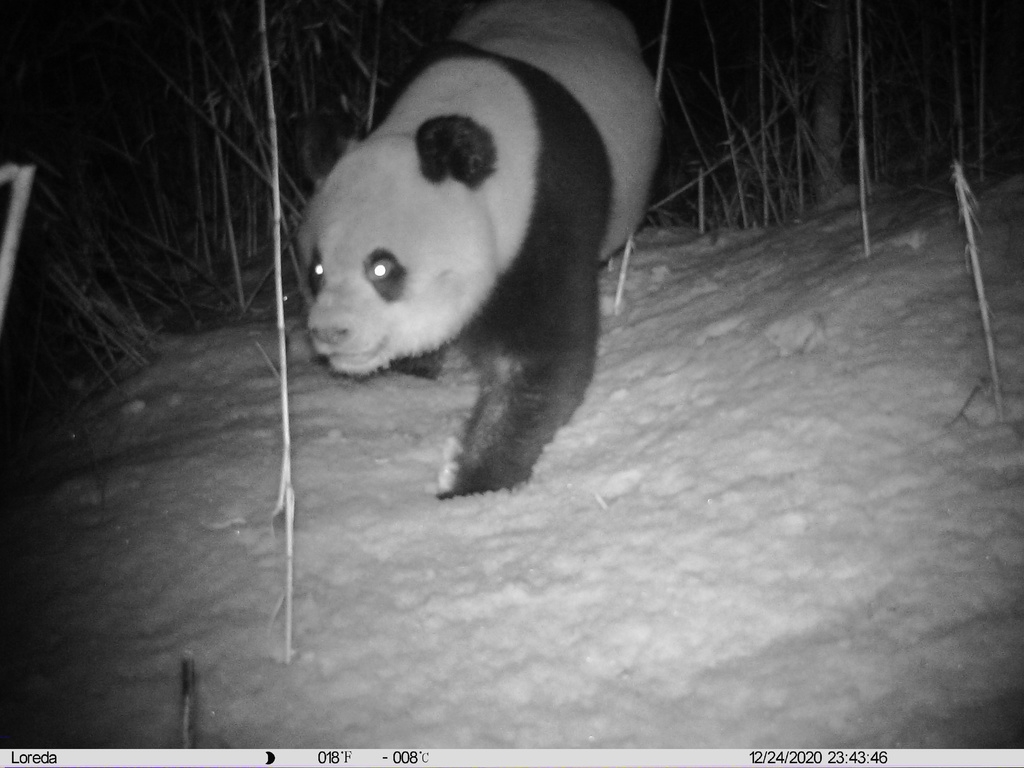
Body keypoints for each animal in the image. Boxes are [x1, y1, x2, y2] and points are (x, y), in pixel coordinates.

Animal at [298, 0, 661, 498]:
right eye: (316, 271)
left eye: (382, 269)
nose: (332, 331)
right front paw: (415, 370)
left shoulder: (545, 209)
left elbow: (536, 361)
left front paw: (473, 481)